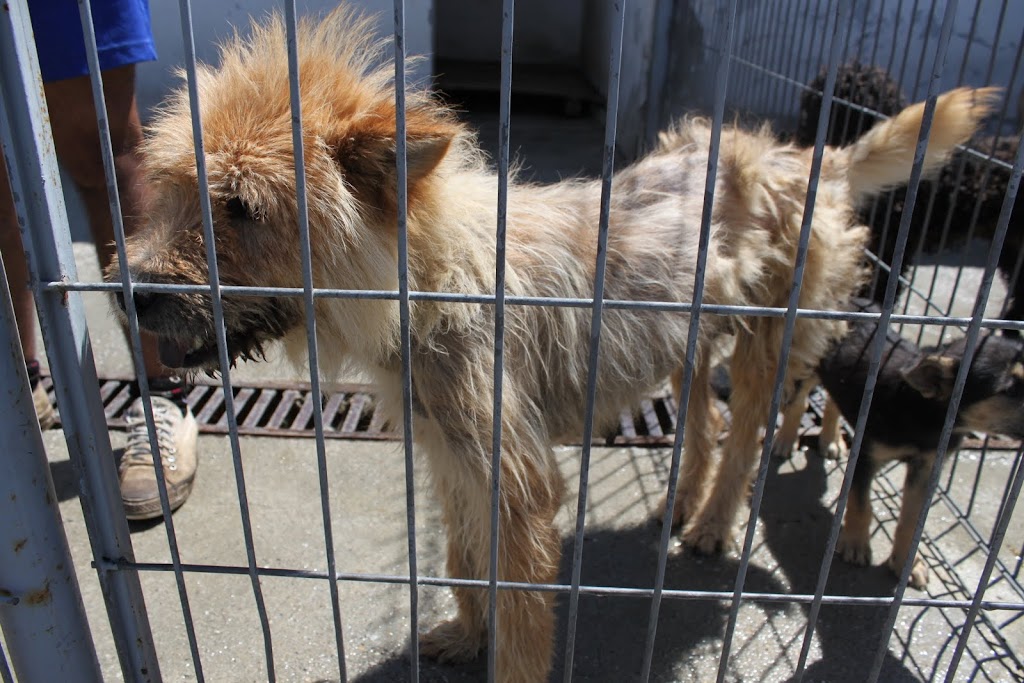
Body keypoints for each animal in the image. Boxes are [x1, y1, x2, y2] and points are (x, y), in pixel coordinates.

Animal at [105, 7, 997, 680]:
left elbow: (521, 610)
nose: (127, 290)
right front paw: (466, 633)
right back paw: (683, 501)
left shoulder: (517, 480)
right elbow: (464, 561)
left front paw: (500, 652)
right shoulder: (453, 455)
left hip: (765, 346)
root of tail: (805, 156)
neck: (435, 276)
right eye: (174, 187)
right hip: (687, 343)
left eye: (241, 207)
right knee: (705, 426)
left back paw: (713, 521)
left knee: (745, 433)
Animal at [775, 299, 1024, 588]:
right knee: (798, 402)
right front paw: (855, 544)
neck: (921, 410)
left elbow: (911, 521)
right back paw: (785, 440)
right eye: (1008, 389)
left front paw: (908, 563)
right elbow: (861, 504)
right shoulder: (866, 455)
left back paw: (831, 440)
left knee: (833, 402)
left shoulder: (925, 467)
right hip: (808, 365)